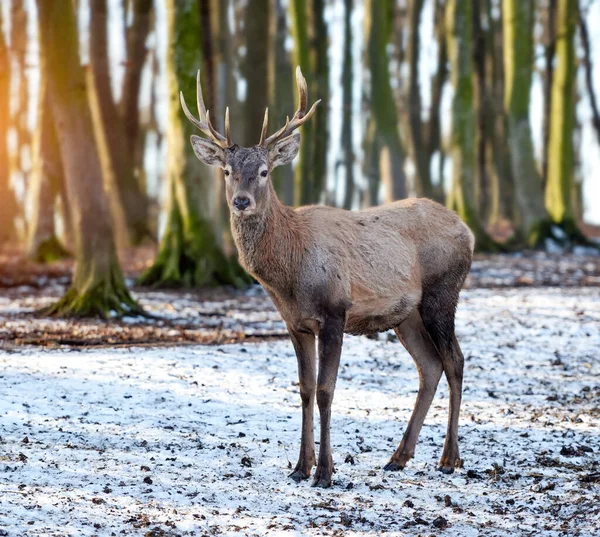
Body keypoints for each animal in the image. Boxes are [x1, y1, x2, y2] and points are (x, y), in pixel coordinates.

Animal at [180, 66, 476, 486]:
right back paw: (398, 457)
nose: (241, 201)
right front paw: (299, 468)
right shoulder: (295, 323)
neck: (290, 277)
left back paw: (449, 458)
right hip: (407, 316)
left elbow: (325, 390)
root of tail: (468, 231)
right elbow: (304, 389)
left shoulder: (335, 312)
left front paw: (324, 471)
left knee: (455, 361)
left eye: (264, 171)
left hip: (443, 293)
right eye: (226, 171)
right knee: (430, 367)